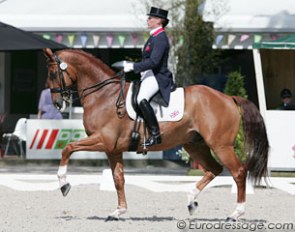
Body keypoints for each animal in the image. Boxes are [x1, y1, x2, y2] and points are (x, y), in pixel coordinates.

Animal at [43, 48, 270, 221]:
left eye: (53, 74)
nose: (58, 103)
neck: (104, 96)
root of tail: (228, 97)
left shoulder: (103, 140)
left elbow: (68, 148)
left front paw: (64, 184)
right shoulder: (112, 149)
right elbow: (118, 179)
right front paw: (118, 211)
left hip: (220, 146)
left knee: (238, 172)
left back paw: (235, 213)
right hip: (195, 144)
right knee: (214, 169)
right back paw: (191, 201)